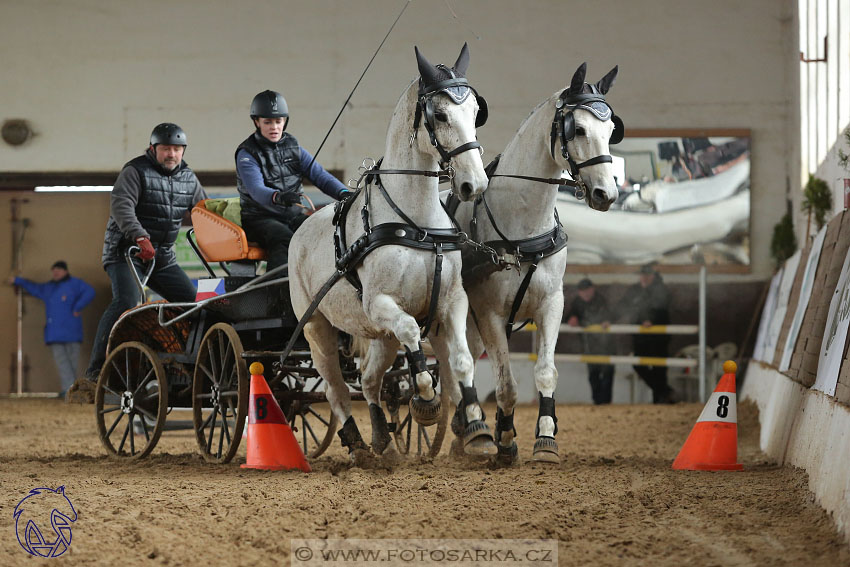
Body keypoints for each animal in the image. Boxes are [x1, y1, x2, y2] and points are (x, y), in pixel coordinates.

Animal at [288, 42, 494, 464]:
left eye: (475, 113)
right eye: (440, 114)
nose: (474, 183)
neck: (417, 224)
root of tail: (300, 228)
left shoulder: (452, 301)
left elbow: (462, 361)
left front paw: (478, 432)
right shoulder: (380, 304)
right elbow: (413, 334)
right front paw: (426, 402)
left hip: (376, 335)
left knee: (368, 380)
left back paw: (382, 438)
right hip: (316, 328)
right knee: (334, 389)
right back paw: (356, 443)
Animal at [448, 62, 620, 464]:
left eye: (611, 131)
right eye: (578, 129)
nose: (607, 194)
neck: (522, 229)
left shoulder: (552, 304)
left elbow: (545, 372)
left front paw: (545, 439)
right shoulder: (489, 313)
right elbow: (506, 383)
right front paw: (504, 439)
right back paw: (470, 430)